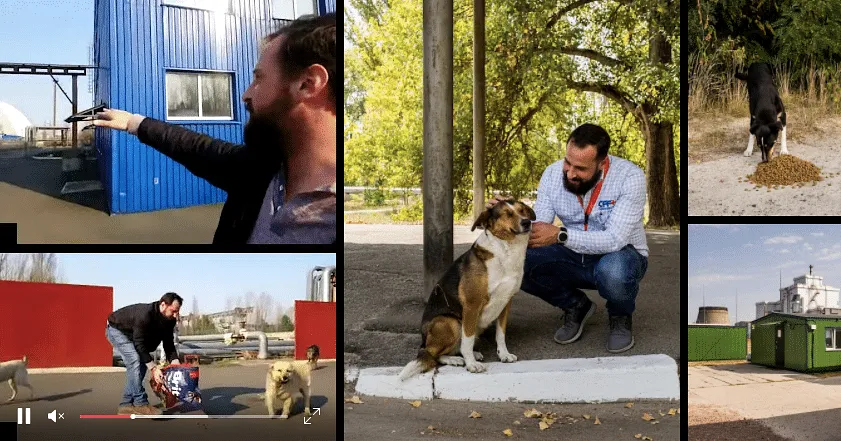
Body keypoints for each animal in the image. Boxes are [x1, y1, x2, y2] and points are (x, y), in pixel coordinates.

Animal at [398, 199, 532, 378]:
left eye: (522, 210)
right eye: (507, 214)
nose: (527, 222)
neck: (506, 251)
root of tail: (423, 340)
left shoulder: (506, 302)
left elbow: (500, 334)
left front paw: (503, 354)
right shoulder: (471, 305)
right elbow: (467, 340)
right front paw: (471, 365)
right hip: (451, 322)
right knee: (432, 353)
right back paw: (456, 359)